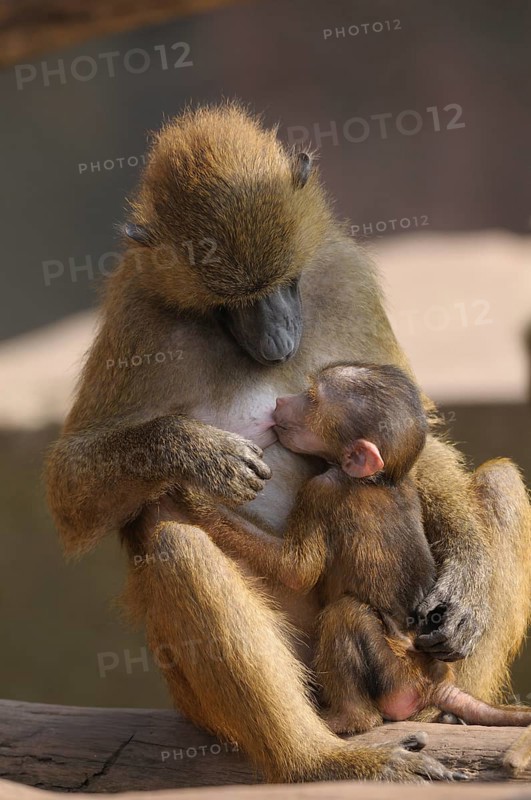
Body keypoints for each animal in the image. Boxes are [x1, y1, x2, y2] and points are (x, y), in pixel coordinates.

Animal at [186, 361, 531, 754]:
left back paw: (348, 719)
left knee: (345, 615)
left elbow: (298, 569)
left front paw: (197, 499)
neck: (378, 480)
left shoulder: (322, 490)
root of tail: (435, 683)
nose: (282, 401)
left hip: (396, 677)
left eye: (310, 399)